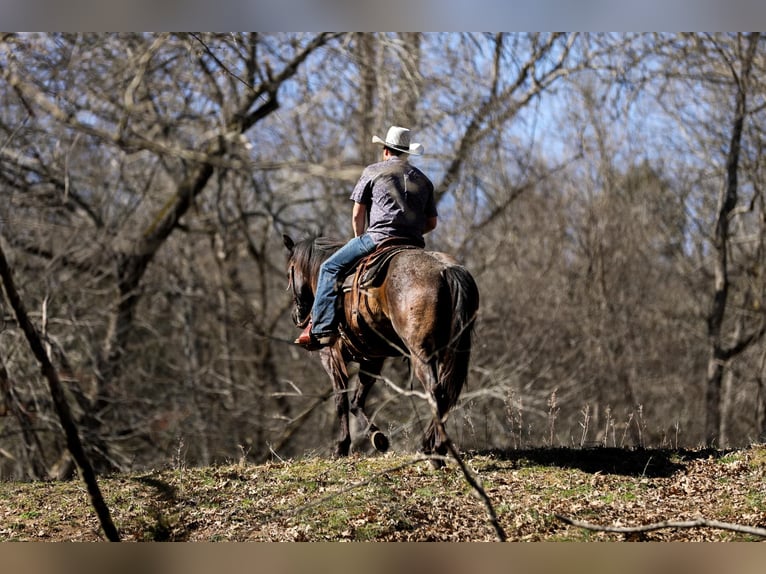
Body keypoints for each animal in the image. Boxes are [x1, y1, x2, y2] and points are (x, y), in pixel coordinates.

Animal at [282, 235, 480, 468]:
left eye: (289, 272)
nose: (296, 316)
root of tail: (445, 269)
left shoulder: (331, 356)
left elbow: (340, 401)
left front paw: (341, 447)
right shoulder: (372, 358)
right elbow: (357, 401)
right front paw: (378, 438)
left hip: (421, 352)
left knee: (436, 391)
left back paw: (430, 449)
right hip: (447, 351)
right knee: (447, 392)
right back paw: (436, 448)